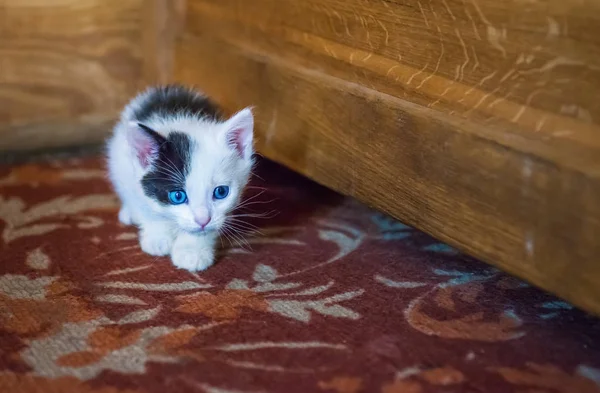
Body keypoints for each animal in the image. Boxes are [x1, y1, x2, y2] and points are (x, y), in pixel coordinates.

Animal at [106, 84, 254, 272]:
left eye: (221, 192)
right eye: (178, 196)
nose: (203, 220)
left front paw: (192, 251)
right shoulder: (130, 177)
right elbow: (147, 208)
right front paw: (158, 238)